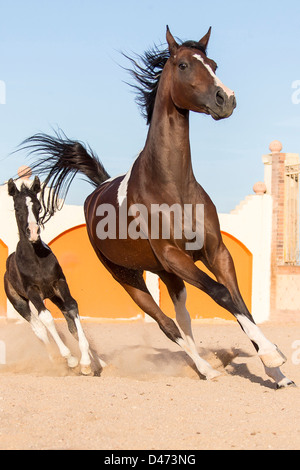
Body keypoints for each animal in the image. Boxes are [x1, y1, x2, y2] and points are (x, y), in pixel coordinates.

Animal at [3, 176, 102, 374]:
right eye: (17, 207)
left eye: (38, 206)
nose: (33, 232)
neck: (36, 259)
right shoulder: (33, 291)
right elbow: (46, 318)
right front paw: (70, 359)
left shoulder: (59, 283)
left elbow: (72, 308)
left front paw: (86, 363)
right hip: (19, 302)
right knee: (38, 328)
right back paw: (55, 359)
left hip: (54, 296)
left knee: (69, 323)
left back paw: (97, 362)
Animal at [22, 26, 294, 390]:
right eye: (182, 65)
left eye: (213, 64)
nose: (226, 99)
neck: (172, 184)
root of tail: (97, 191)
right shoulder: (173, 256)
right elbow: (221, 295)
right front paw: (272, 356)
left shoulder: (215, 252)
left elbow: (239, 302)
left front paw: (276, 372)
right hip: (131, 278)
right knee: (167, 324)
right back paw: (206, 370)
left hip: (168, 275)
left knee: (183, 321)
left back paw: (205, 367)